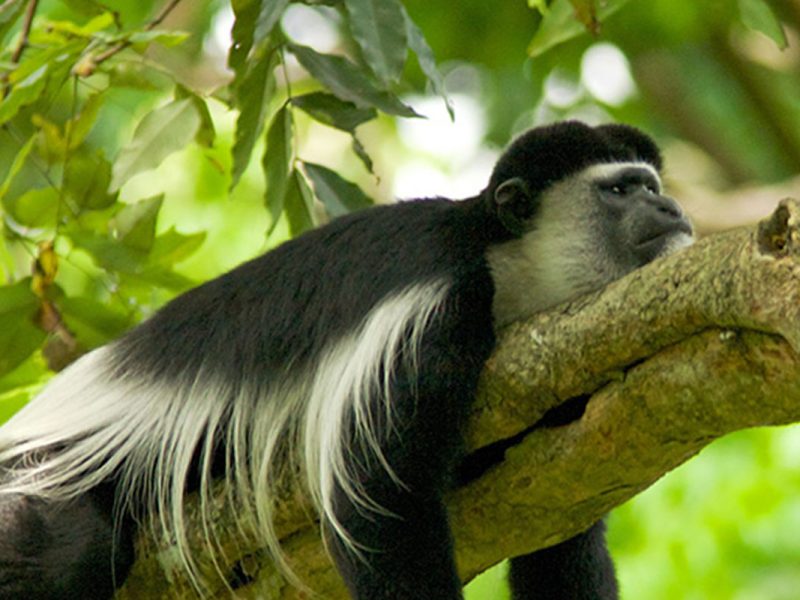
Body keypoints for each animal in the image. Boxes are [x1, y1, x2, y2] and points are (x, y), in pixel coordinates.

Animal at [0, 120, 693, 599]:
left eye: (652, 187)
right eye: (622, 189)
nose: (672, 208)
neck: (504, 267)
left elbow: (563, 530)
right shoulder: (424, 318)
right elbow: (382, 502)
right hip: (42, 476)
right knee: (69, 552)